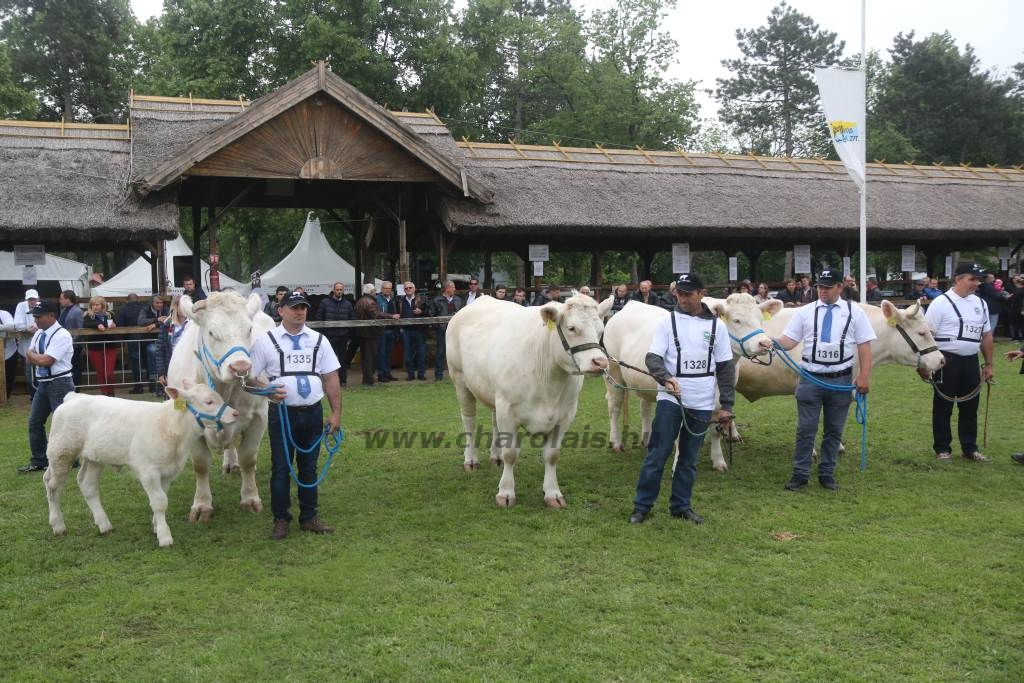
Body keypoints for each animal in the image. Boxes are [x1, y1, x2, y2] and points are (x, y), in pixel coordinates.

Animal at [43, 376, 237, 548]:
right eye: (209, 402)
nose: (235, 413)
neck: (170, 426)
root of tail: (74, 397)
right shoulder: (148, 471)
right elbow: (159, 502)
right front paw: (165, 536)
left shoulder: (167, 471)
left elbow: (161, 498)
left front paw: (156, 526)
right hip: (61, 452)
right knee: (52, 486)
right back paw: (58, 525)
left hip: (93, 457)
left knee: (87, 484)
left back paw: (104, 525)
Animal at [168, 290, 278, 520]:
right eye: (211, 332)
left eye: (249, 329)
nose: (241, 367)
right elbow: (201, 465)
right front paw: (202, 505)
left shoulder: (258, 418)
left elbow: (248, 459)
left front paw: (250, 499)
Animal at [448, 294, 606, 507]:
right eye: (572, 328)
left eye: (601, 331)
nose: (600, 363)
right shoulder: (507, 409)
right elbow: (511, 454)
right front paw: (506, 493)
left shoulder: (566, 414)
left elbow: (552, 455)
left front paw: (553, 493)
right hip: (460, 380)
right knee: (469, 423)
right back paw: (470, 460)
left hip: (494, 394)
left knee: (493, 421)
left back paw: (495, 457)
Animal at [598, 296, 774, 456]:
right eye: (737, 320)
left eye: (761, 319)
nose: (765, 343)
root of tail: (631, 305)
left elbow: (716, 428)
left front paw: (717, 458)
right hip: (613, 373)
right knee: (614, 406)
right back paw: (615, 442)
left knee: (644, 406)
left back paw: (647, 439)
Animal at [704, 299, 942, 471]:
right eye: (922, 333)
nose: (941, 360)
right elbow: (813, 421)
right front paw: (811, 452)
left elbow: (836, 419)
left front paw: (838, 446)